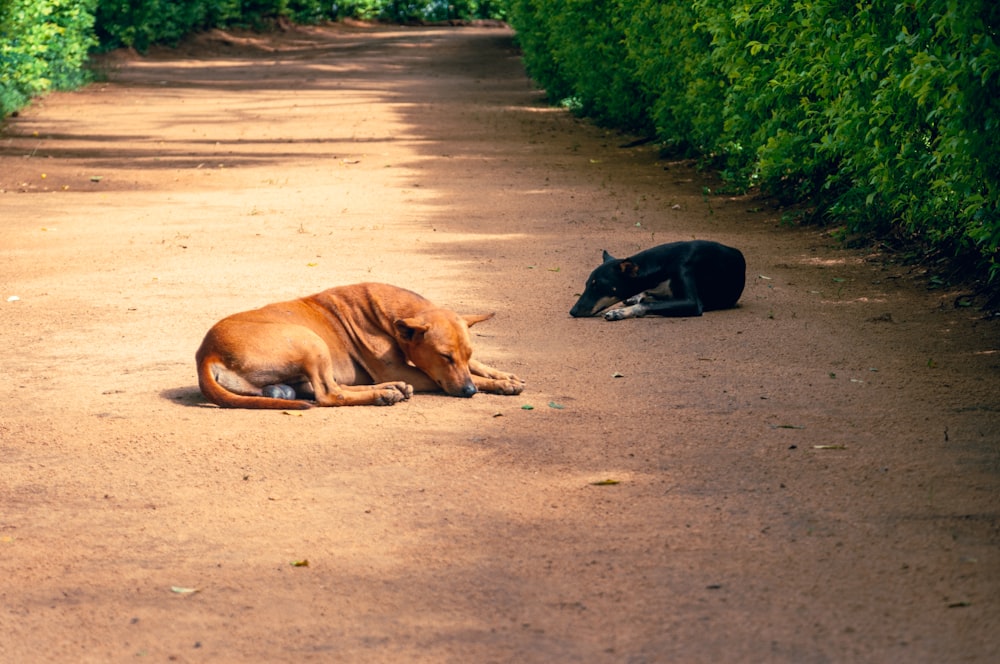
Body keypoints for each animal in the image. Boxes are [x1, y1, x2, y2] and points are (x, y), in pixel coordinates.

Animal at [193, 282, 524, 410]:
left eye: (466, 354)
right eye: (444, 357)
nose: (468, 391)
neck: (392, 315)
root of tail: (206, 353)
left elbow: (481, 368)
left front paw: (503, 376)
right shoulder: (410, 371)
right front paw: (494, 385)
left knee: (330, 387)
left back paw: (391, 389)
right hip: (310, 341)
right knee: (329, 394)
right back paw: (382, 393)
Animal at [568, 240, 748, 320]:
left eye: (597, 286)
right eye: (587, 284)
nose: (572, 312)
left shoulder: (692, 302)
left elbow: (647, 305)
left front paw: (619, 312)